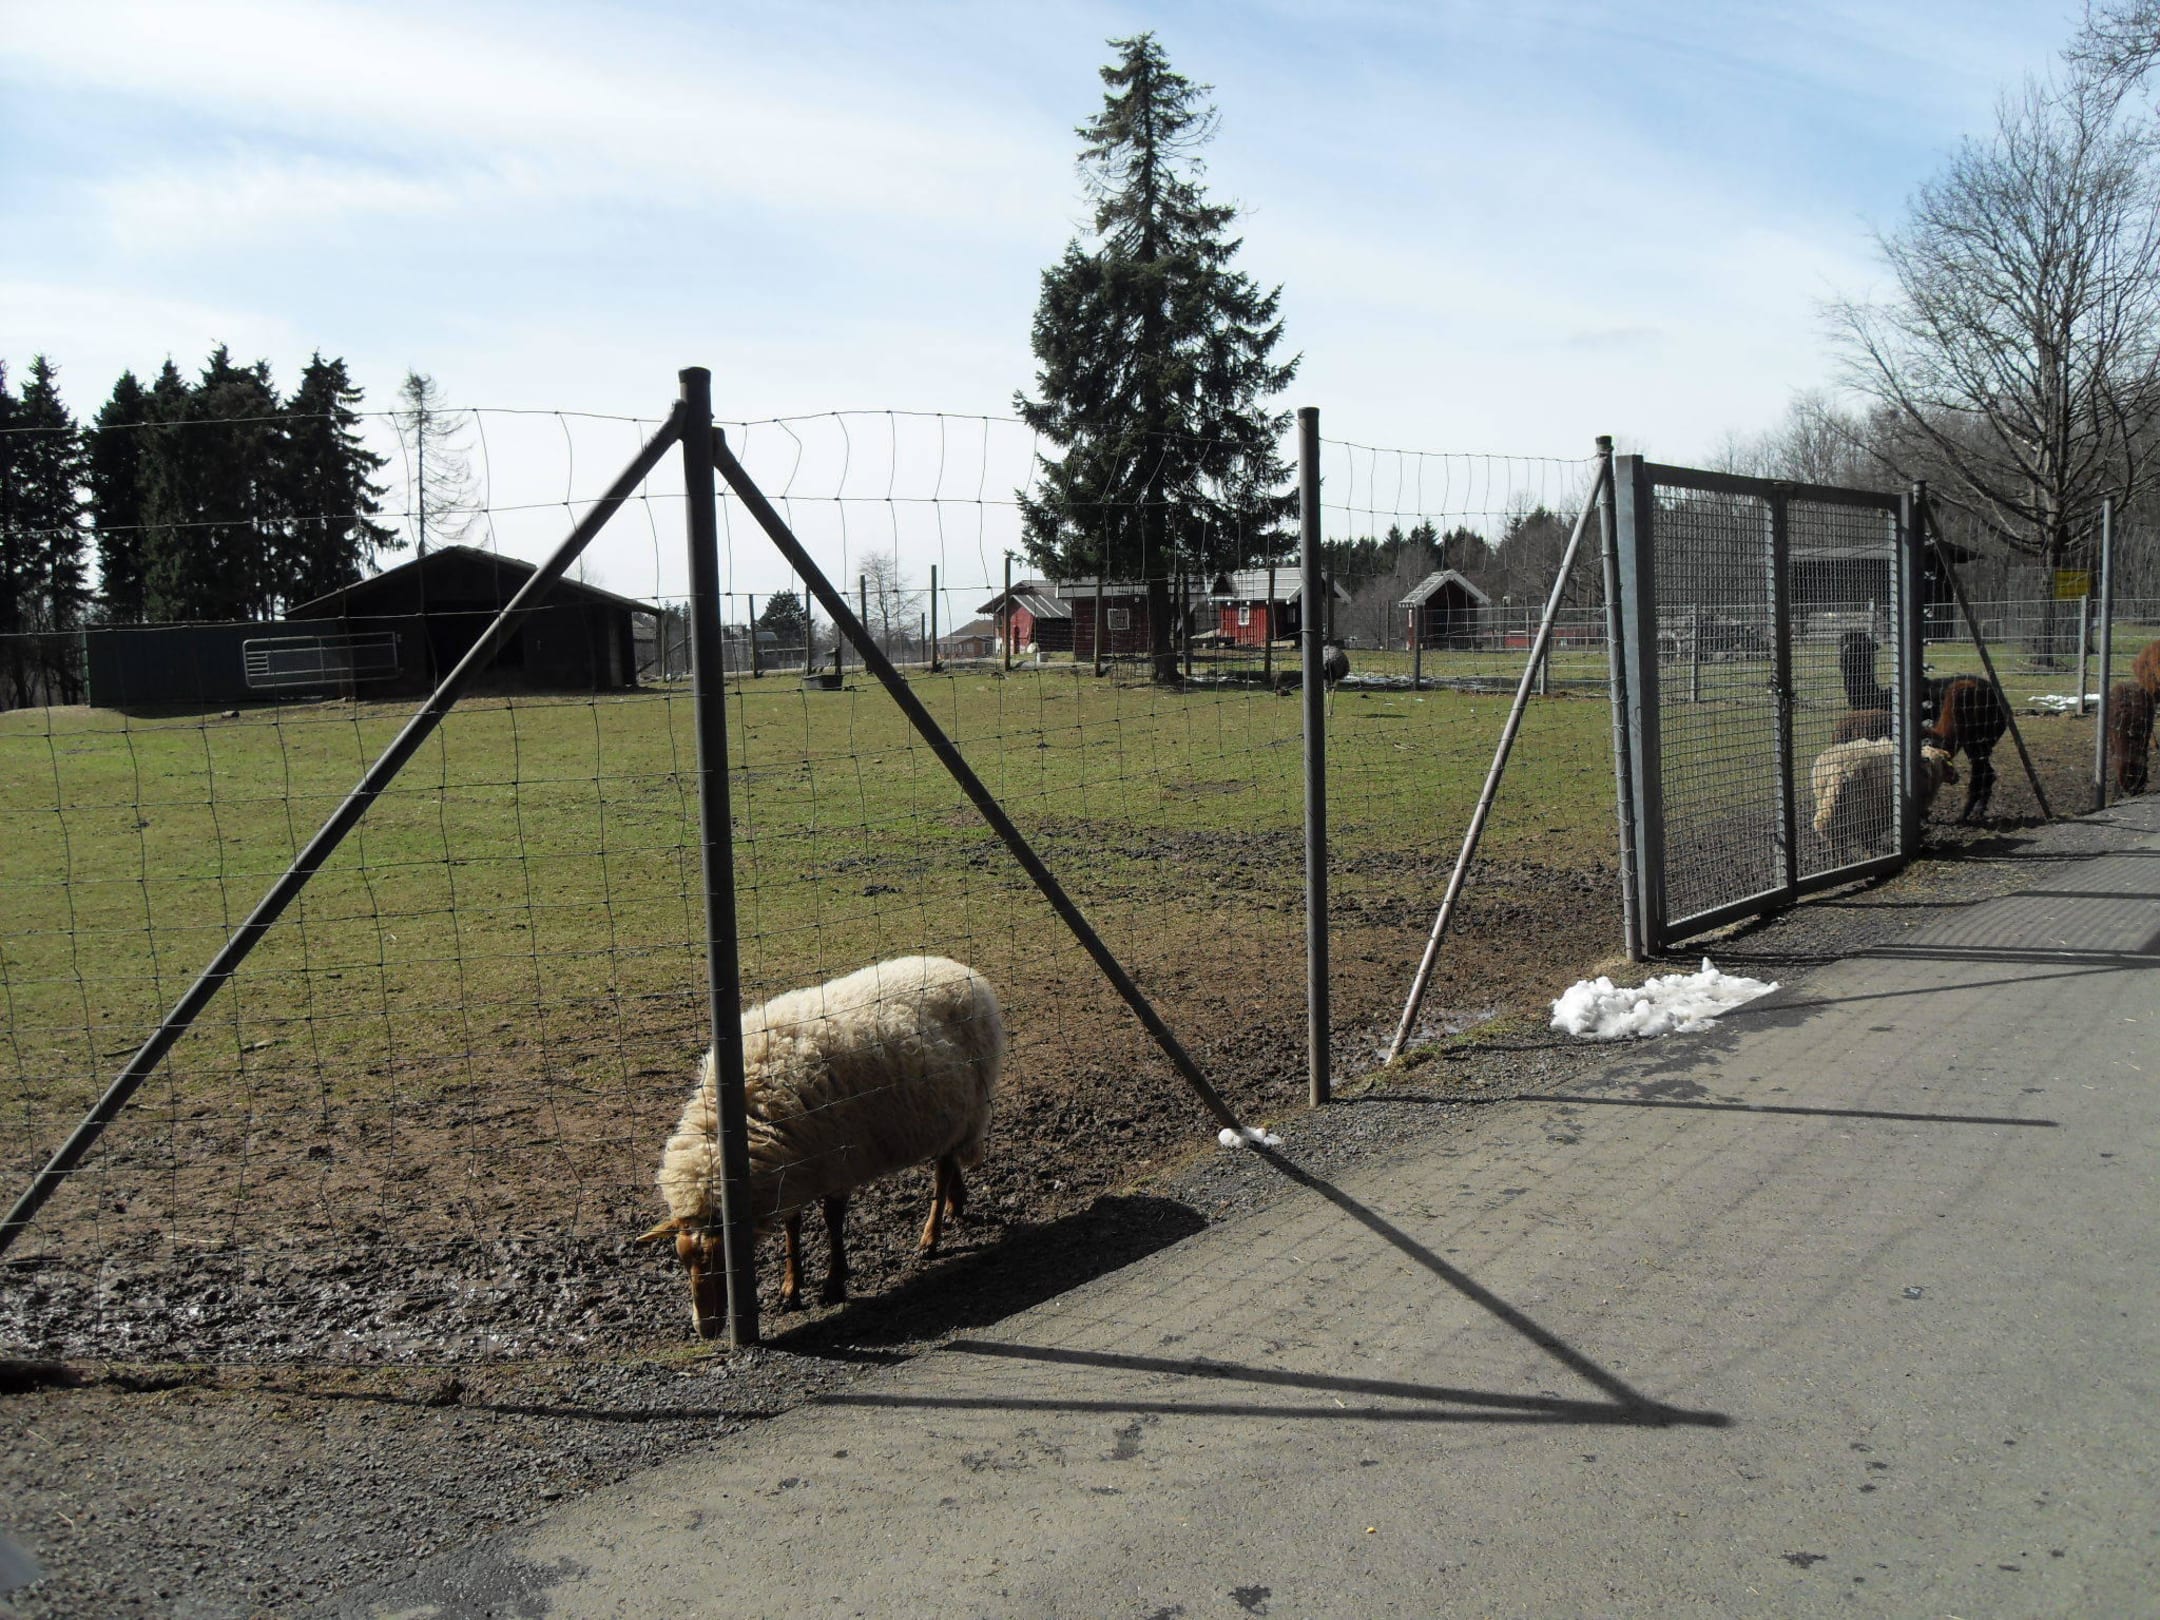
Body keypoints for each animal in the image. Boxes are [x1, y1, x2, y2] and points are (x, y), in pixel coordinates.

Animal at [638, 955, 1003, 1337]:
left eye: (721, 1261)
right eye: (682, 1261)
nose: (704, 1329)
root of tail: (958, 968)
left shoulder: (837, 1160)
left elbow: (832, 1221)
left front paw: (834, 1283)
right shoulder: (795, 1168)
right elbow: (792, 1227)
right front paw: (790, 1289)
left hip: (965, 1107)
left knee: (943, 1170)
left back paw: (930, 1238)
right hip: (945, 1115)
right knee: (949, 1162)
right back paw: (955, 1205)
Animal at [1810, 737, 1956, 861]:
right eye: (1947, 763)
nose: (1957, 776)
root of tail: (1838, 769)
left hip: (1830, 805)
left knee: (1835, 840)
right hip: (1862, 809)